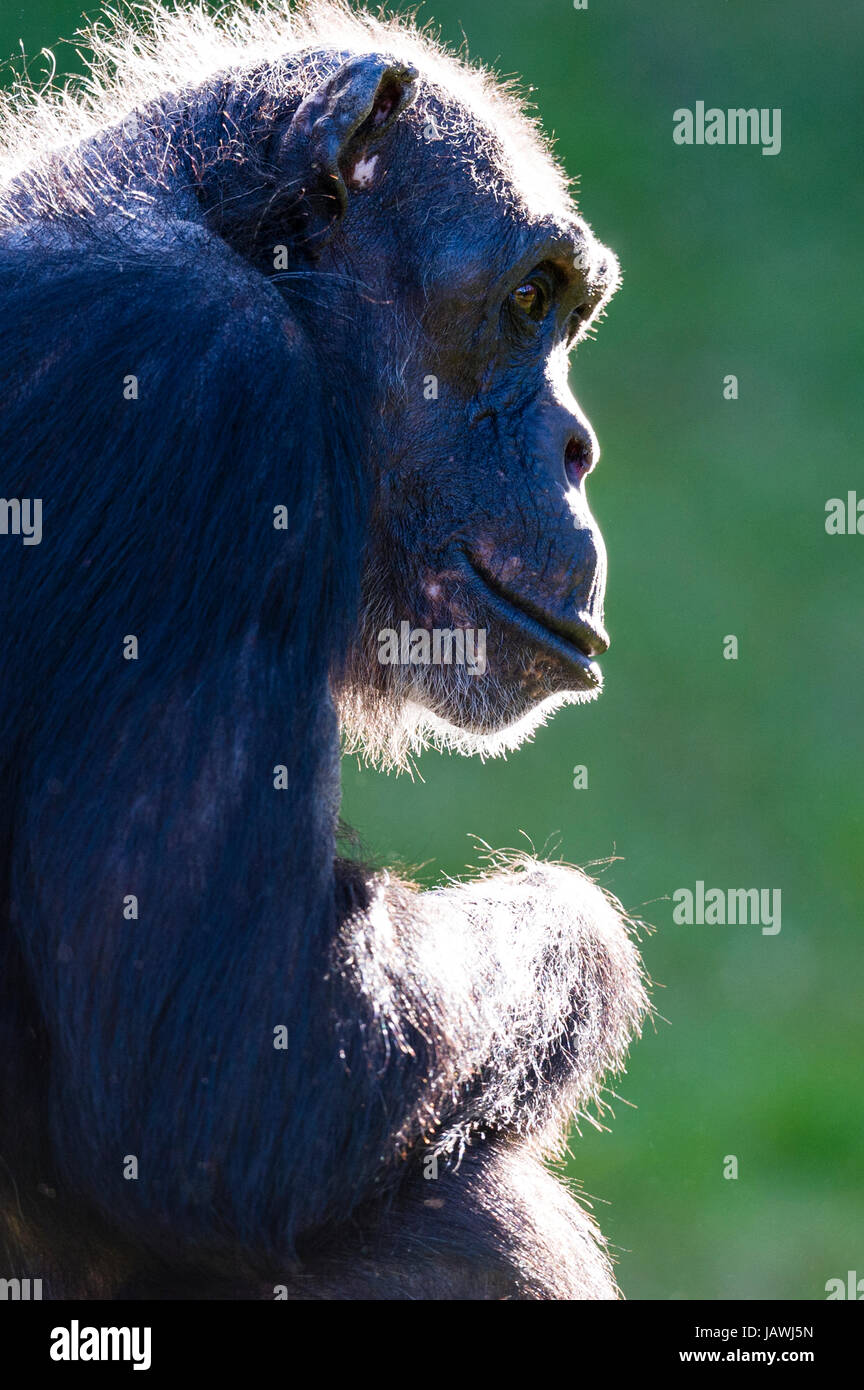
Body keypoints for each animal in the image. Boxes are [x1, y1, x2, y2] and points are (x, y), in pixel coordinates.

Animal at [0, 2, 650, 1301]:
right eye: (527, 299)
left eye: (566, 311)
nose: (577, 445)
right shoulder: (210, 393)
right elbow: (231, 1073)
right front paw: (588, 928)